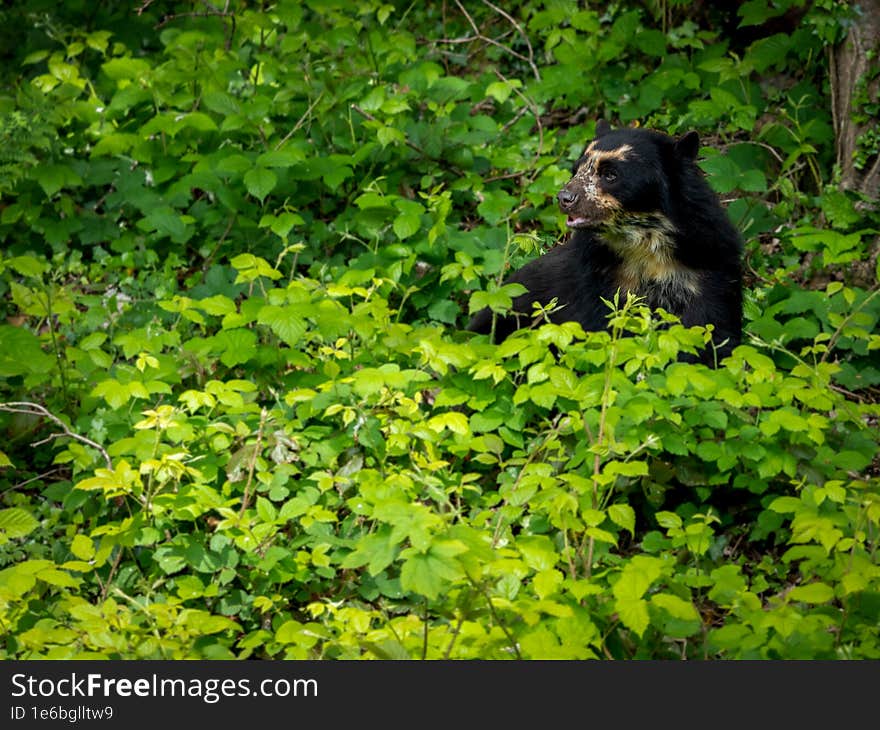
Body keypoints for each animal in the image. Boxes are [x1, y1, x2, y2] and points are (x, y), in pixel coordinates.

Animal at [468, 121, 744, 366]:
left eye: (610, 174)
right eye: (576, 170)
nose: (565, 198)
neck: (644, 244)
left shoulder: (707, 264)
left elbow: (711, 324)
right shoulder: (598, 276)